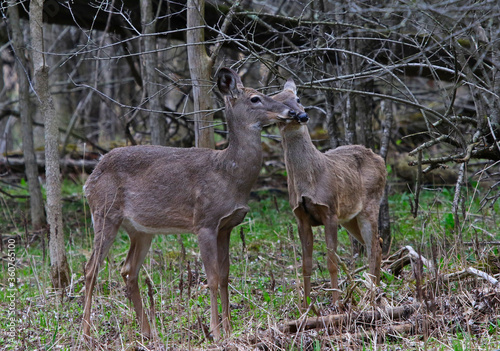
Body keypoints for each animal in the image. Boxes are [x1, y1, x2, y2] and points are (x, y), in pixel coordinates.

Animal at [81, 68, 292, 340]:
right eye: (255, 98)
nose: (290, 112)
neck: (229, 174)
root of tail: (89, 180)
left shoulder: (227, 226)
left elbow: (225, 276)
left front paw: (229, 329)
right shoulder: (204, 221)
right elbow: (212, 278)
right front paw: (215, 331)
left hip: (140, 230)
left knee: (128, 269)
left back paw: (147, 331)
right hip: (104, 212)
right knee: (91, 268)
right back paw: (85, 332)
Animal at [272, 80, 384, 308]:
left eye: (298, 98)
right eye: (277, 105)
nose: (302, 115)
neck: (309, 182)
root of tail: (381, 160)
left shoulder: (330, 211)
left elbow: (331, 262)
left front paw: (336, 303)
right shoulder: (301, 216)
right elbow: (306, 265)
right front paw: (306, 306)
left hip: (370, 204)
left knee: (373, 247)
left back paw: (371, 296)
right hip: (350, 218)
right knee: (378, 243)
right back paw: (374, 291)